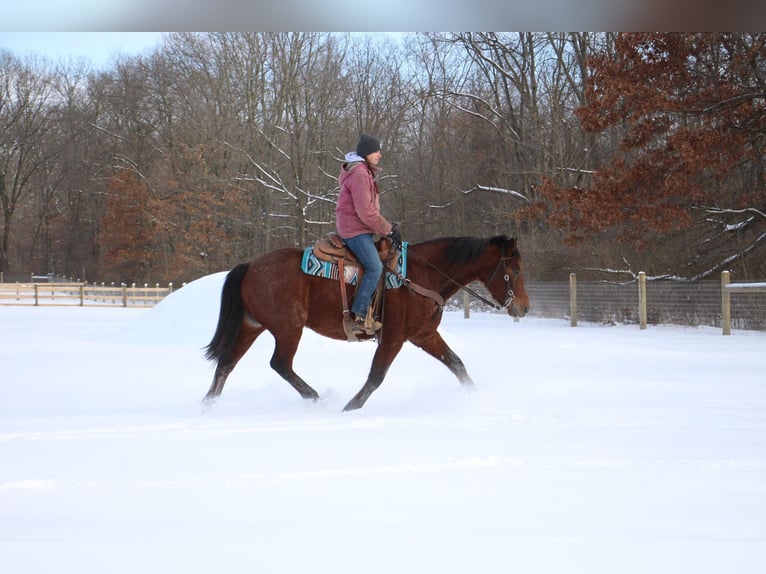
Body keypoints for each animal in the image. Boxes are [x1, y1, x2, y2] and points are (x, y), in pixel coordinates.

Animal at [201, 235, 532, 414]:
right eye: (515, 270)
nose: (524, 307)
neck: (421, 277)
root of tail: (250, 266)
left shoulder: (424, 335)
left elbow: (457, 365)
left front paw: (477, 397)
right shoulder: (394, 338)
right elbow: (376, 376)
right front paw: (349, 408)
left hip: (251, 326)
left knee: (226, 364)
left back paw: (208, 406)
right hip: (288, 328)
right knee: (279, 363)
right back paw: (317, 399)